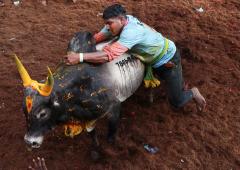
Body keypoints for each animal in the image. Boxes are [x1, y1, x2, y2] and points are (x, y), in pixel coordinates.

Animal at [15, 31, 145, 151]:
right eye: (24, 111)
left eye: (43, 113)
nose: (30, 142)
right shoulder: (88, 117)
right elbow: (91, 132)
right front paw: (96, 149)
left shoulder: (114, 107)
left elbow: (111, 136)